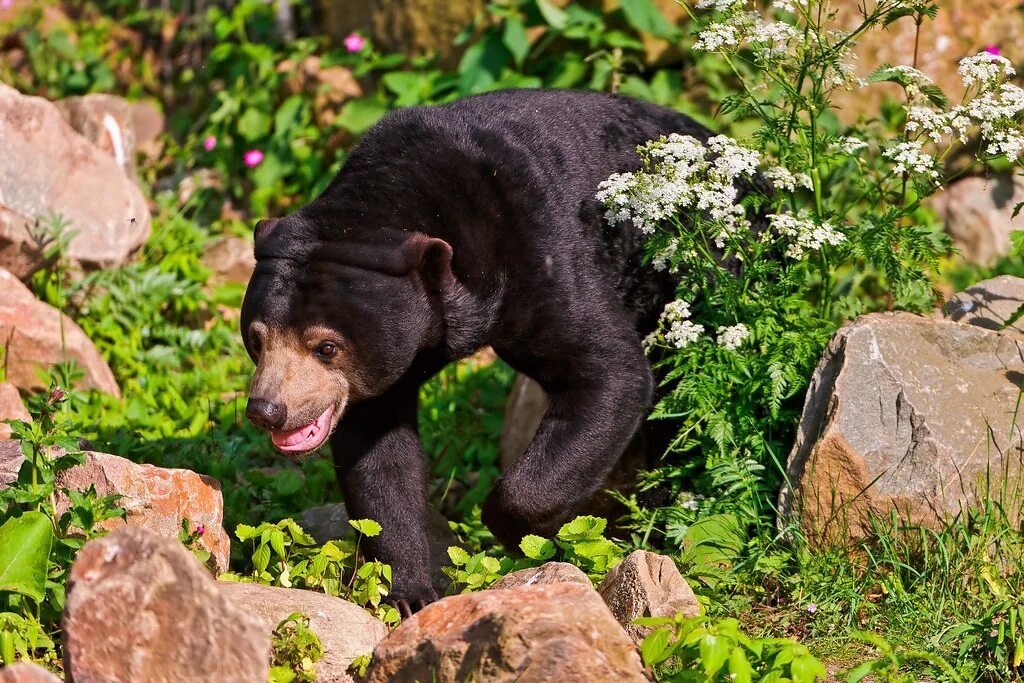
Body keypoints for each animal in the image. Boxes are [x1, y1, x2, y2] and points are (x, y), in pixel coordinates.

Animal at [239, 87, 720, 614]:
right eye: (256, 339)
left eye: (326, 347)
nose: (267, 410)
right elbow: (379, 452)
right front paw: (411, 594)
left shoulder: (540, 248)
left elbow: (608, 370)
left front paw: (522, 535)